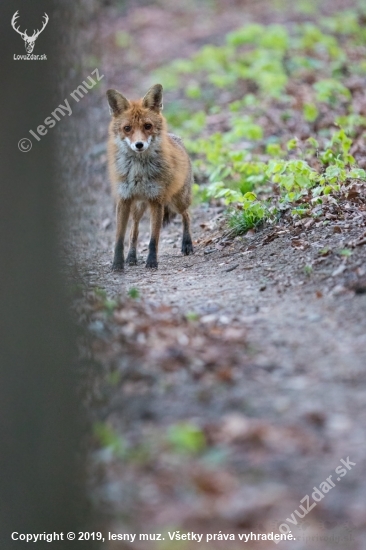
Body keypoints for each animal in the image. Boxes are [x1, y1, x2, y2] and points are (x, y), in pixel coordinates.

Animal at [105, 84, 193, 272]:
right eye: (127, 128)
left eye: (147, 126)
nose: (139, 145)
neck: (138, 172)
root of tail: (176, 138)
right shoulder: (124, 200)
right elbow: (119, 238)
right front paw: (117, 264)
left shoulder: (156, 201)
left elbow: (154, 239)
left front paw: (152, 262)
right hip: (137, 207)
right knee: (134, 231)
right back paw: (131, 257)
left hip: (177, 201)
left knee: (187, 215)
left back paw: (187, 244)